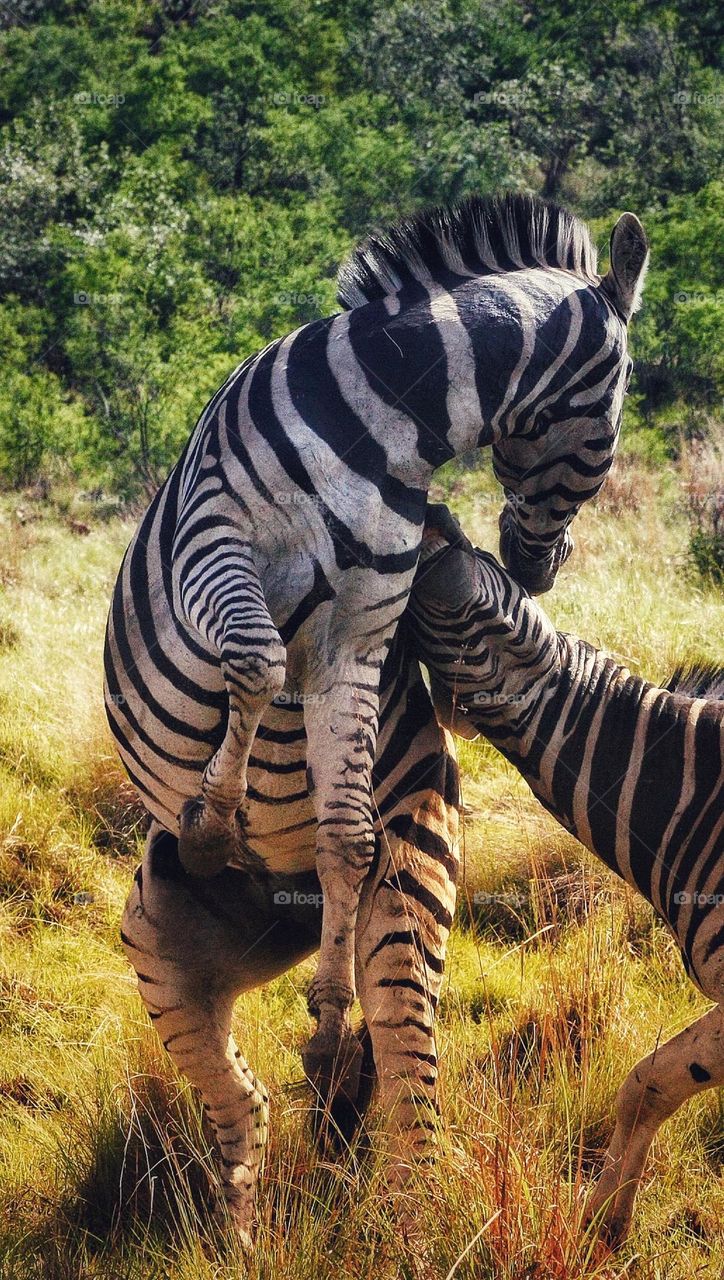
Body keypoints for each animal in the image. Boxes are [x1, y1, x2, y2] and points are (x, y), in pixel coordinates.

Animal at [105, 194, 648, 1241]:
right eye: (621, 410)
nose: (539, 569)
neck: (392, 421)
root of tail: (281, 919)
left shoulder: (359, 628)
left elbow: (347, 833)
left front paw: (322, 1014)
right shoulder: (213, 540)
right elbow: (253, 656)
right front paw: (212, 822)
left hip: (404, 901)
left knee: (401, 1078)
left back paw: (407, 1210)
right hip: (160, 952)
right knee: (244, 1107)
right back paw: (240, 1241)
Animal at [407, 504, 723, 1246]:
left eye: (493, 617)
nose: (434, 514)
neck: (690, 794)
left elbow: (650, 1081)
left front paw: (602, 1218)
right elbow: (648, 1084)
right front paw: (605, 1223)